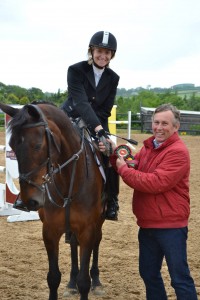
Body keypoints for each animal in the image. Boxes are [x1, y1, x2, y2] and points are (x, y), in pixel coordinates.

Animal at [0, 102, 106, 298]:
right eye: (12, 146)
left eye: (37, 145)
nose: (30, 201)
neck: (68, 180)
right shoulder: (50, 231)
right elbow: (53, 277)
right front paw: (69, 281)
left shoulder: (87, 230)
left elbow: (84, 281)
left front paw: (88, 281)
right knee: (73, 244)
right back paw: (71, 283)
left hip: (99, 221)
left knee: (97, 241)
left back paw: (97, 281)